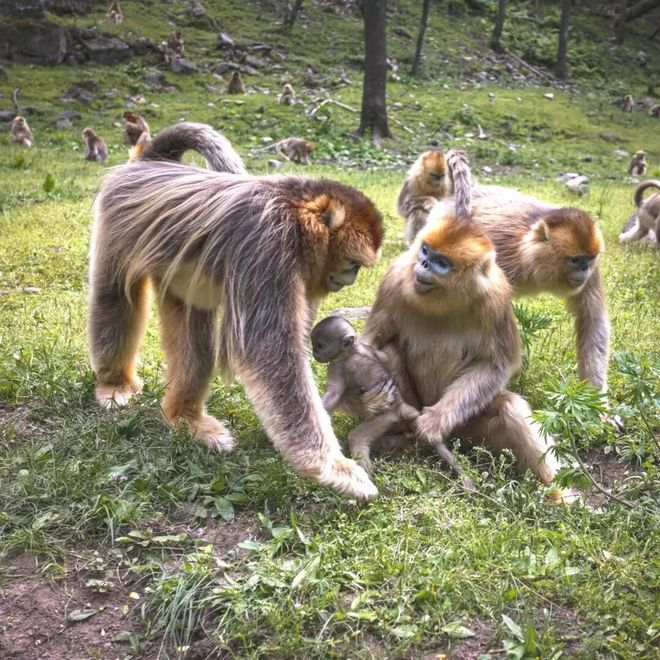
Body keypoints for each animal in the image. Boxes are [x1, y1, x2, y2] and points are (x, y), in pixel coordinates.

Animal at [90, 122, 384, 500]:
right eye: (353, 264)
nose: (352, 277)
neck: (292, 210)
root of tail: (149, 163)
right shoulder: (267, 244)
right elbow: (270, 353)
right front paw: (331, 467)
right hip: (119, 221)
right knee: (115, 295)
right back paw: (114, 382)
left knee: (194, 335)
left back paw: (186, 419)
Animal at [312, 314, 472, 490]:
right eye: (314, 345)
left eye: (319, 346)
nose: (314, 353)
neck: (351, 350)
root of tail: (402, 406)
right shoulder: (369, 350)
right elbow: (384, 357)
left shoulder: (336, 365)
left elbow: (333, 395)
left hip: (386, 418)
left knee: (357, 438)